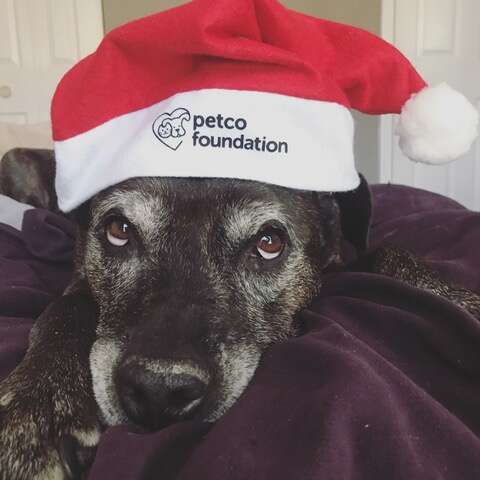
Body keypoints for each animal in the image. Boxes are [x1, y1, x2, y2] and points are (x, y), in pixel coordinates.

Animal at [0, 148, 478, 478]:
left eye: (269, 242)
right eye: (119, 229)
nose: (160, 390)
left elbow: (390, 251)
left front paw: (460, 298)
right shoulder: (78, 277)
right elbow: (65, 307)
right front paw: (36, 409)